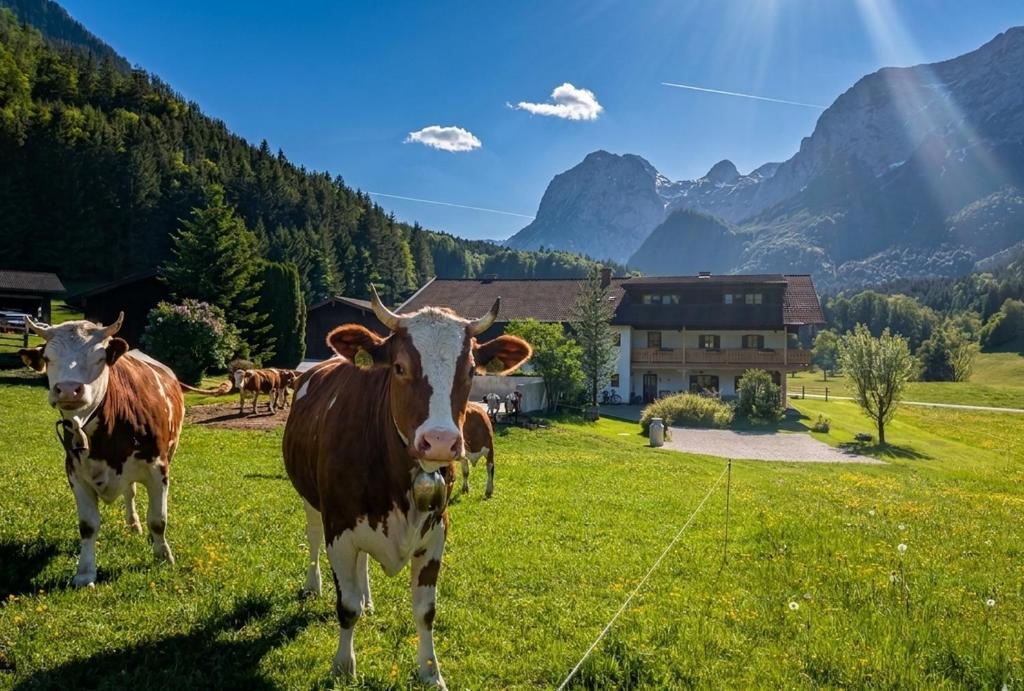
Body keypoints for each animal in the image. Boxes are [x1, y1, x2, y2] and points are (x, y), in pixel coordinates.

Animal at [18, 312, 186, 588]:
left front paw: (163, 556)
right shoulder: (75, 474)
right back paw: (132, 524)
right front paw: (85, 572)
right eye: (48, 358)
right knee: (130, 492)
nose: (68, 389)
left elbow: (158, 520)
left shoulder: (158, 469)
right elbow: (88, 526)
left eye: (99, 358)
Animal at [283, 287, 531, 687]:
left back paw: (368, 599)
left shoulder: (436, 533)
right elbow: (345, 607)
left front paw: (431, 672)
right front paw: (343, 666)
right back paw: (313, 584)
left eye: (470, 370)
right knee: (313, 538)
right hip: (311, 501)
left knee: (364, 564)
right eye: (399, 367)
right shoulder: (340, 529)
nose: (441, 441)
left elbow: (425, 611)